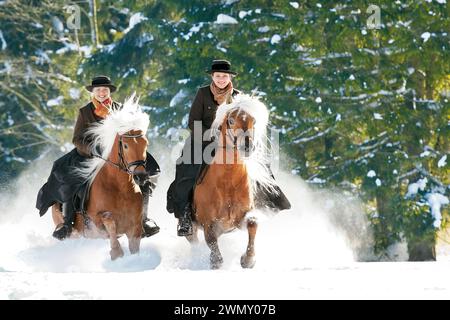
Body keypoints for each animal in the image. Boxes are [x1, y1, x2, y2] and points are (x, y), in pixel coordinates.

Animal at [50, 97, 149, 260]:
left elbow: (134, 248)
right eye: (125, 145)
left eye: (145, 143)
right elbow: (110, 226)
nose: (140, 176)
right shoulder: (99, 220)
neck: (120, 187)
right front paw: (116, 253)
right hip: (71, 231)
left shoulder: (135, 226)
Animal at [188, 94, 276, 268]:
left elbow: (253, 223)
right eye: (231, 120)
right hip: (191, 229)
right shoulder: (208, 223)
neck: (227, 181)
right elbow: (212, 244)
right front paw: (216, 262)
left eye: (254, 120)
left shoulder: (240, 218)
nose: (247, 146)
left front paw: (248, 260)